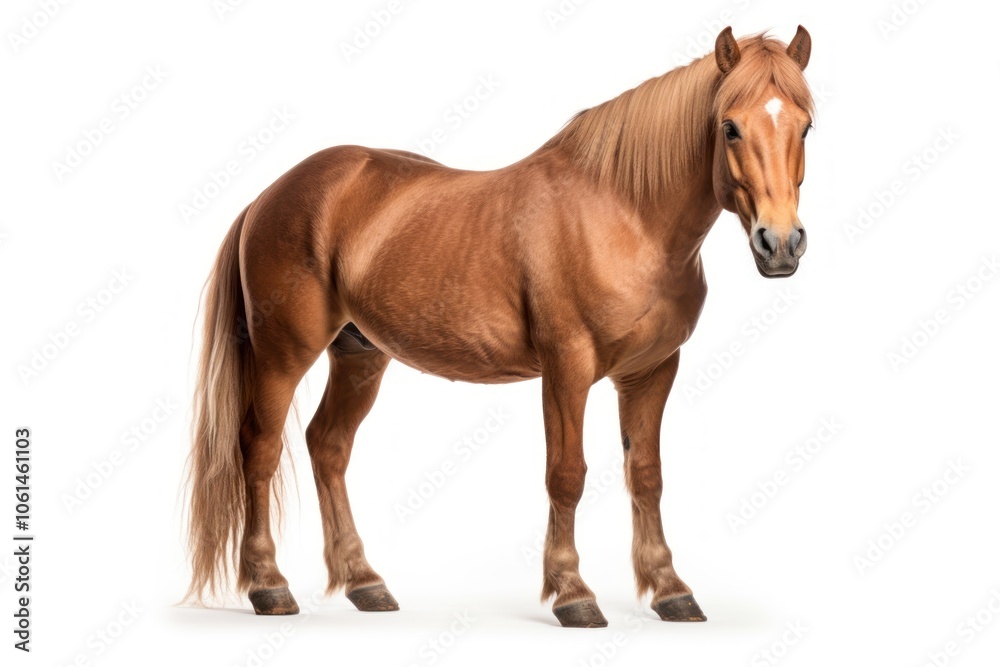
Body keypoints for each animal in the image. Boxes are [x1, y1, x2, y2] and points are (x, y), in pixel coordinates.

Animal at [185, 26, 815, 628]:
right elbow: (567, 475)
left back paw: (365, 582)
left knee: (329, 446)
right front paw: (572, 594)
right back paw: (269, 585)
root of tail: (270, 194)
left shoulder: (652, 371)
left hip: (359, 354)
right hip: (282, 355)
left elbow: (646, 475)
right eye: (729, 127)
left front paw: (671, 591)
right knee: (260, 449)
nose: (780, 244)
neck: (625, 216)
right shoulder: (566, 368)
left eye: (806, 126)